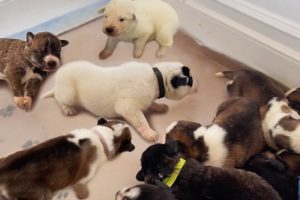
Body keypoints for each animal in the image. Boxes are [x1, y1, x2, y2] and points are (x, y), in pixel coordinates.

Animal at [42, 61, 197, 142]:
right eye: (190, 80)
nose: (198, 85)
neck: (157, 78)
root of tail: (57, 81)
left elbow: (152, 104)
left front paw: (160, 107)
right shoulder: (128, 108)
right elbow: (141, 121)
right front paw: (149, 133)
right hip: (68, 94)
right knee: (58, 97)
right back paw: (67, 109)